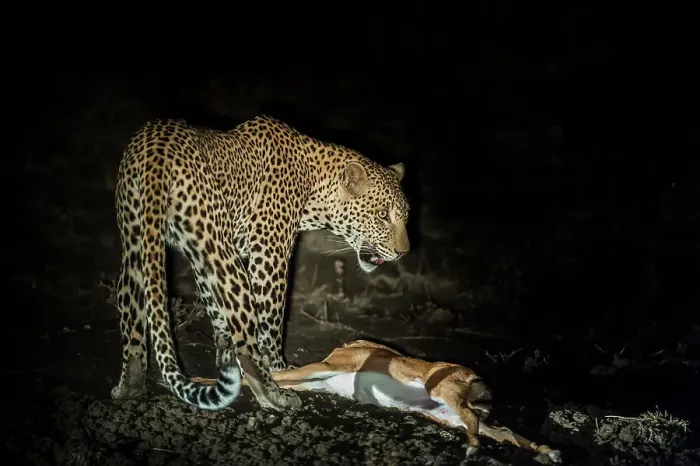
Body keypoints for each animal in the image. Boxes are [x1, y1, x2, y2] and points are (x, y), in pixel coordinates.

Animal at [111, 114, 411, 412]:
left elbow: (216, 310)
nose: (404, 252)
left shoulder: (200, 256)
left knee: (131, 316)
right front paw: (278, 366)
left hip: (135, 242)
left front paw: (225, 354)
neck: (314, 186)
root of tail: (157, 151)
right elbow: (270, 321)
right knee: (249, 337)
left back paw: (130, 388)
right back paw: (273, 394)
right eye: (382, 215)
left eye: (404, 215)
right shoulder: (269, 255)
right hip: (226, 257)